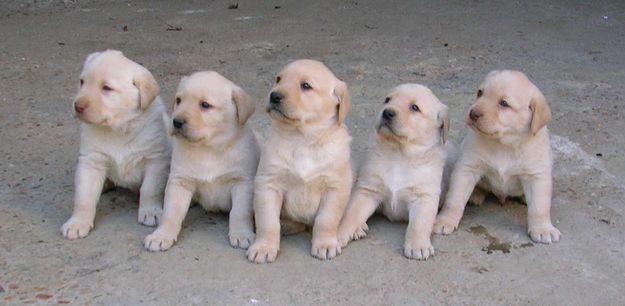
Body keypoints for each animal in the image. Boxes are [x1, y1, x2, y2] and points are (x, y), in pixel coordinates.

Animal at [61, 49, 169, 239]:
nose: (77, 106)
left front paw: (150, 212)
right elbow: (84, 197)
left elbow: (149, 189)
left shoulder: (156, 159)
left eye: (107, 88)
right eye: (82, 82)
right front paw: (77, 222)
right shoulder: (91, 161)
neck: (118, 130)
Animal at [144, 71, 258, 251]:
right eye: (178, 100)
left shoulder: (243, 182)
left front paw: (242, 234)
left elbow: (239, 212)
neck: (208, 149)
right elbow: (171, 212)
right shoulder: (180, 181)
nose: (176, 122)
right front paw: (161, 235)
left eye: (205, 105)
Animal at [246, 59, 352, 262]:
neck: (301, 139)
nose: (274, 95)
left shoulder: (336, 186)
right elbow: (268, 222)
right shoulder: (268, 183)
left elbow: (326, 220)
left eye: (306, 86)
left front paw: (325, 244)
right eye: (278, 79)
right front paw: (264, 247)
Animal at [336, 84, 454, 260]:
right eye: (387, 99)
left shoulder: (424, 197)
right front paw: (338, 234)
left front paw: (418, 246)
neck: (399, 154)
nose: (387, 112)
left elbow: (419, 224)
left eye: (414, 107)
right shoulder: (368, 190)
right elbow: (352, 213)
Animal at [434, 70, 560, 244]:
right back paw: (475, 194)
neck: (504, 144)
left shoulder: (537, 176)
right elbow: (454, 199)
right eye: (480, 93)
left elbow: (540, 207)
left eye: (504, 103)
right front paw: (444, 220)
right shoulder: (467, 167)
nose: (473, 114)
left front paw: (543, 229)